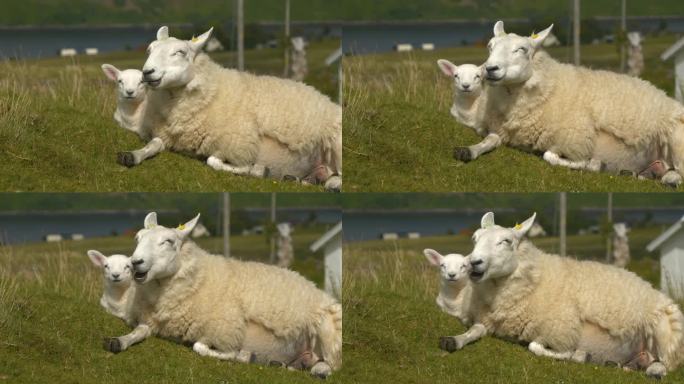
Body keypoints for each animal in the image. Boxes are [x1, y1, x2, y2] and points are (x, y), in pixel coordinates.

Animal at [103, 213, 342, 378]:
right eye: (138, 238)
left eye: (169, 241)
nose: (135, 263)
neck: (199, 280)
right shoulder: (151, 321)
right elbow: (138, 331)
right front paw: (118, 342)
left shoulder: (225, 332)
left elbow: (201, 348)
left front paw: (243, 356)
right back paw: (285, 365)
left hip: (327, 328)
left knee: (332, 364)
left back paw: (319, 370)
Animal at [119, 26, 342, 191]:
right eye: (149, 50)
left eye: (180, 52)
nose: (147, 73)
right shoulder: (165, 135)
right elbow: (154, 144)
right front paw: (132, 156)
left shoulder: (239, 145)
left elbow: (215, 161)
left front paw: (257, 171)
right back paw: (300, 179)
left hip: (335, 143)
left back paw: (331, 184)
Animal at [444, 212, 684, 380]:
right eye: (474, 238)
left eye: (506, 241)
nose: (473, 262)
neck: (536, 281)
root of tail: (656, 291)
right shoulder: (486, 321)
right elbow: (474, 330)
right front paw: (453, 341)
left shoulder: (561, 332)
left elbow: (536, 347)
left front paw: (578, 356)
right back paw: (622, 365)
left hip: (665, 331)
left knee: (667, 362)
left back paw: (654, 370)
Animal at [456, 20, 684, 186]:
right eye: (490, 46)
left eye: (522, 49)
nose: (490, 69)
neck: (550, 88)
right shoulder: (500, 130)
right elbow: (490, 140)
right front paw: (468, 151)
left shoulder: (575, 141)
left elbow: (551, 156)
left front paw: (594, 164)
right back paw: (640, 174)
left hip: (676, 139)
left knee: (679, 174)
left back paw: (668, 179)